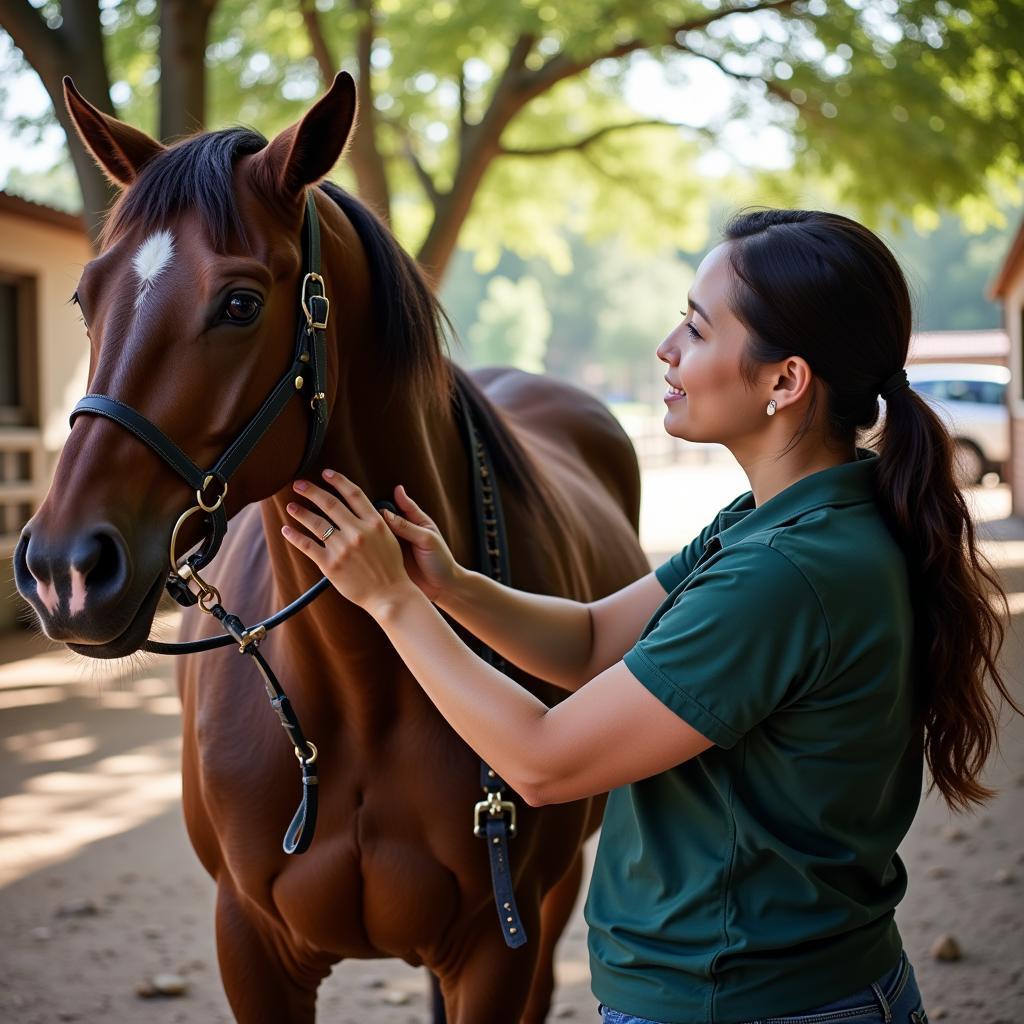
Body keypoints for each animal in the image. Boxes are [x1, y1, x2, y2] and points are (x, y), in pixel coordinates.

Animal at [14, 68, 647, 1019]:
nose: (64, 571)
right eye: (85, 300)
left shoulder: (499, 950)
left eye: (240, 303)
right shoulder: (250, 945)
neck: (361, 689)